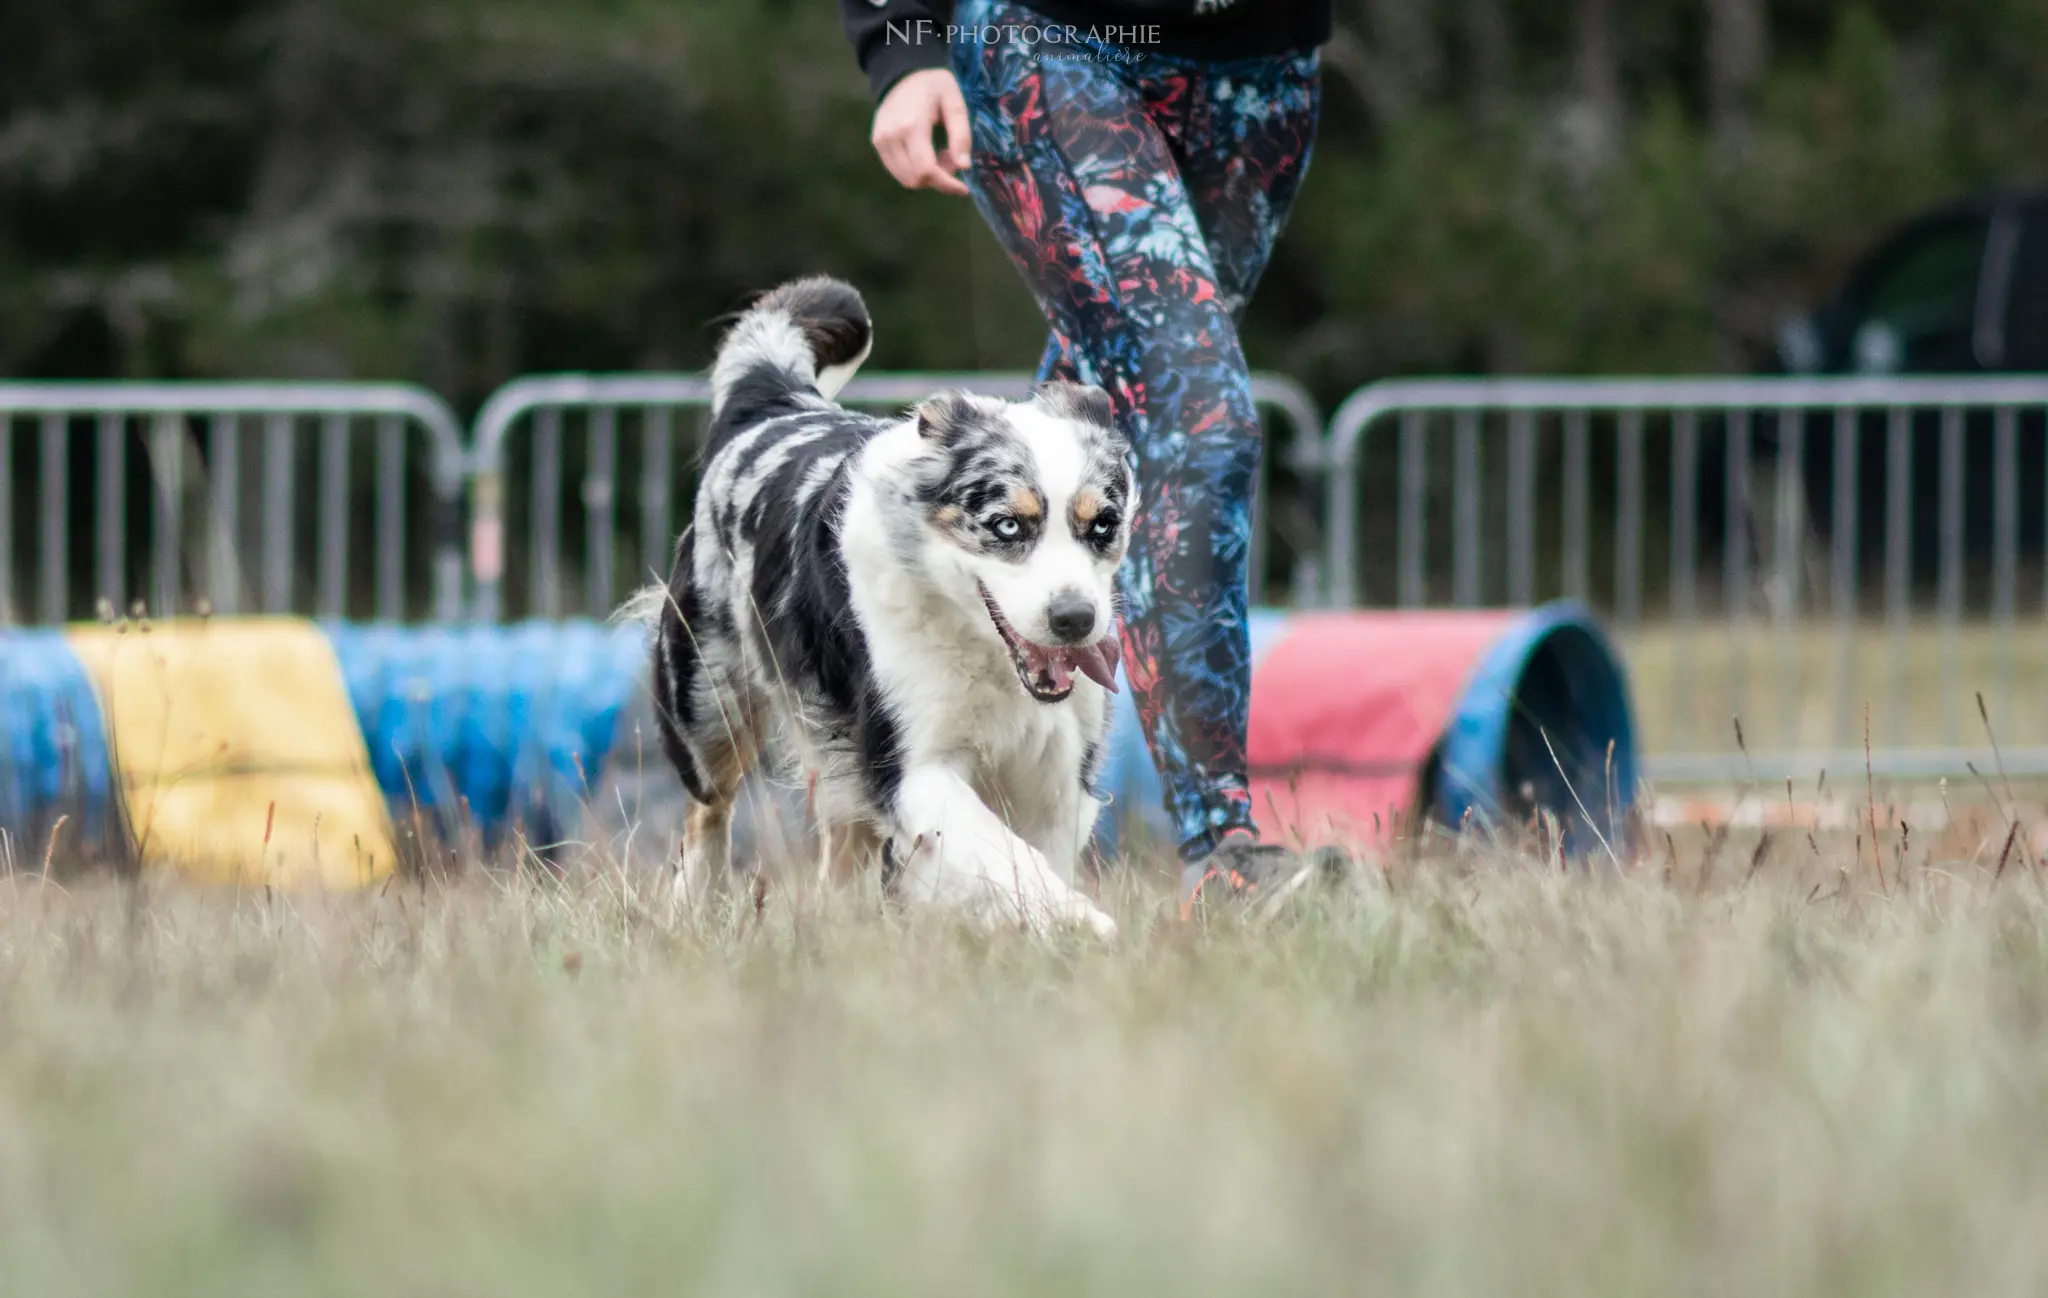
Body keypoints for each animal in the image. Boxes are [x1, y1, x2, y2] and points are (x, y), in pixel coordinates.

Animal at [630, 278, 1130, 933]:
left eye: (1103, 525)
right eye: (1006, 525)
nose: (1075, 621)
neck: (983, 654)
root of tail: (780, 405)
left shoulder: (1058, 769)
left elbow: (1033, 850)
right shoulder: (910, 760)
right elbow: (1003, 852)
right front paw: (1081, 923)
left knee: (839, 851)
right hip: (709, 701)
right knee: (708, 808)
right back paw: (693, 906)